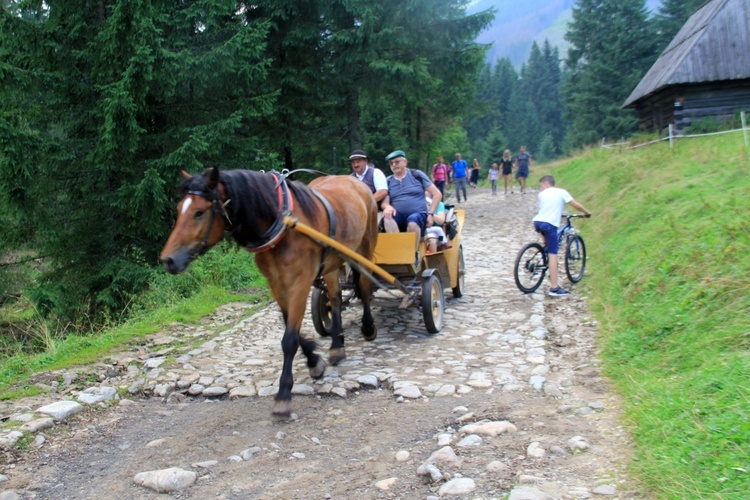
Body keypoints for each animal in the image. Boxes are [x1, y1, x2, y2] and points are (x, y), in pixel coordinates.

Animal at [161, 166, 378, 416]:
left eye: (199, 212)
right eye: (180, 209)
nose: (167, 260)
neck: (283, 224)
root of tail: (355, 181)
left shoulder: (300, 283)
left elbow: (289, 339)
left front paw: (283, 393)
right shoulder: (276, 283)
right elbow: (289, 326)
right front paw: (314, 361)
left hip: (365, 246)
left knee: (365, 286)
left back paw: (368, 327)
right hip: (333, 259)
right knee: (334, 297)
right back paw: (336, 346)